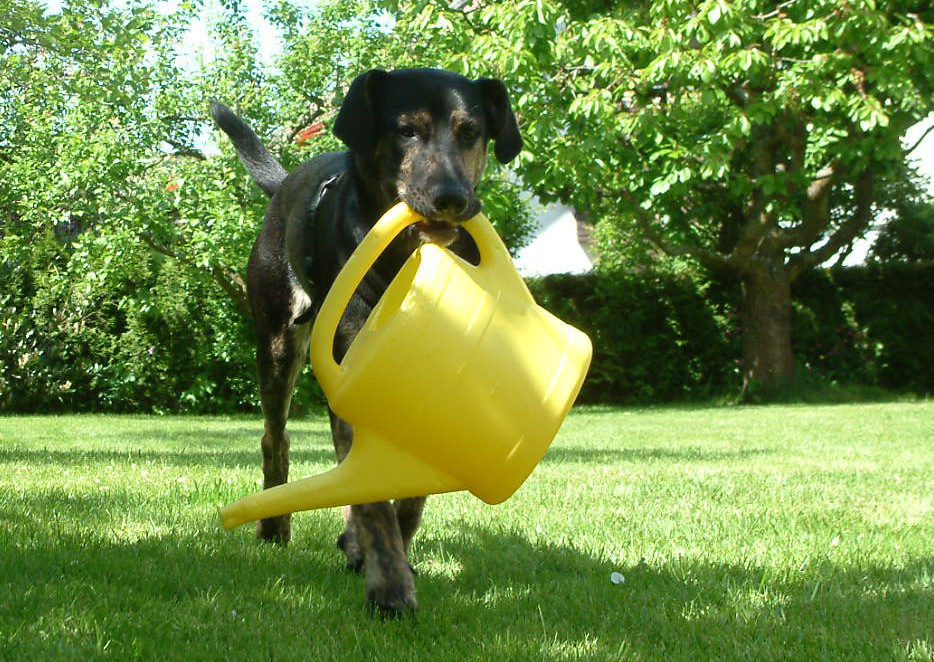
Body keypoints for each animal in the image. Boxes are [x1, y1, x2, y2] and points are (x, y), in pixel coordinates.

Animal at [210, 68, 528, 616]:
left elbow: (404, 493)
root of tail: (285, 183)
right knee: (276, 437)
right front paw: (391, 587)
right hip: (278, 341)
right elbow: (374, 500)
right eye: (405, 130)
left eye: (471, 132)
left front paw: (387, 552)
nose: (450, 198)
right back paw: (275, 527)